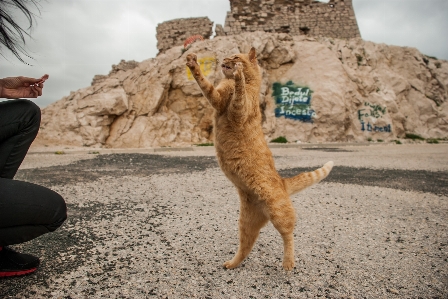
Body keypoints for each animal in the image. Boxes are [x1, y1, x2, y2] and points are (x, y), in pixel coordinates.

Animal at [185, 47, 332, 272]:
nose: (226, 59)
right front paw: (194, 63)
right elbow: (205, 84)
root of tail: (283, 182)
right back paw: (232, 264)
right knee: (246, 246)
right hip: (246, 223)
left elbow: (237, 95)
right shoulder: (217, 99)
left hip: (279, 213)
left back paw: (288, 262)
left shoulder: (239, 110)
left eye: (236, 57)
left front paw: (238, 75)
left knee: (288, 234)